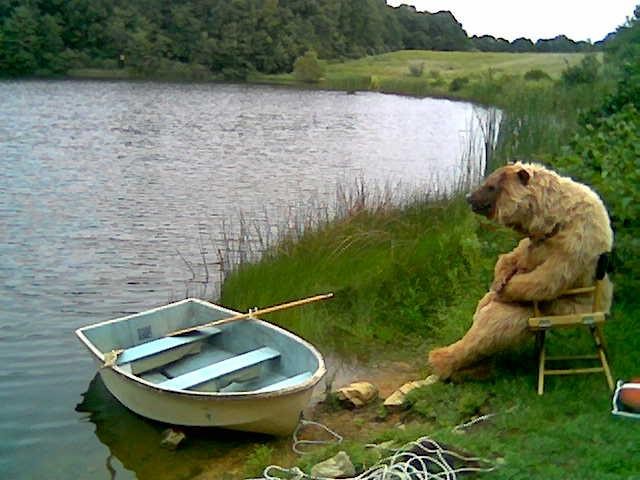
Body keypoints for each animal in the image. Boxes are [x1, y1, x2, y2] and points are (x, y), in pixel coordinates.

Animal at [428, 163, 612, 380]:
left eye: (490, 186)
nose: (468, 197)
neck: (551, 219)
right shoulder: (535, 241)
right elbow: (512, 256)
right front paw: (498, 280)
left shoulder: (574, 242)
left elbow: (545, 279)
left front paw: (501, 291)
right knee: (482, 313)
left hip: (562, 308)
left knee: (496, 323)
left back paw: (441, 360)